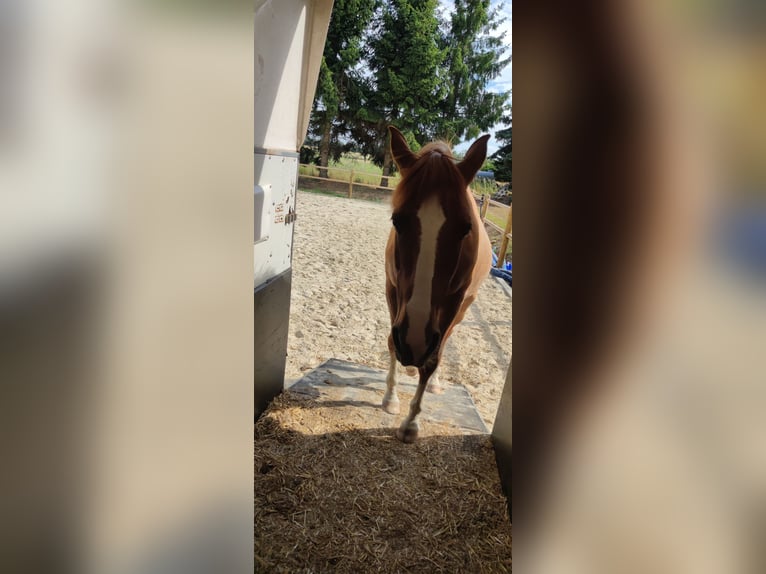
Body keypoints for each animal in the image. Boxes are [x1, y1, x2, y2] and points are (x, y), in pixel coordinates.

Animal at [382, 126, 493, 443]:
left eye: (466, 228)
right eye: (397, 220)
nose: (415, 341)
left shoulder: (453, 304)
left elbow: (433, 359)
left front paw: (411, 423)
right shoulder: (392, 289)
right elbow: (392, 342)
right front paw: (391, 399)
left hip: (462, 309)